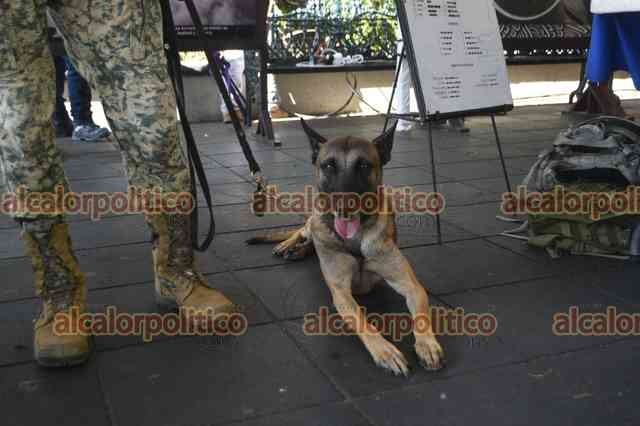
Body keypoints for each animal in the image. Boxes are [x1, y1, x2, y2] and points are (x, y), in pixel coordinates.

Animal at [247, 119, 445, 375]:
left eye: (364, 165)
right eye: (329, 165)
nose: (344, 207)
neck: (356, 239)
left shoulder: (411, 286)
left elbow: (420, 315)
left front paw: (427, 345)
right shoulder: (341, 292)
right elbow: (362, 320)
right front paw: (385, 351)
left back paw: (298, 250)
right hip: (314, 221)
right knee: (303, 231)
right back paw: (288, 244)